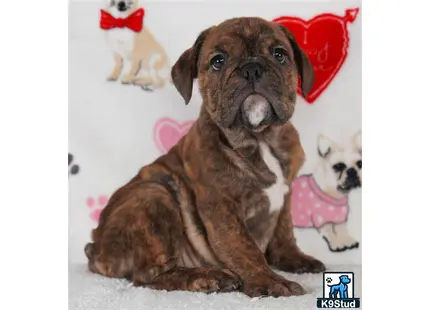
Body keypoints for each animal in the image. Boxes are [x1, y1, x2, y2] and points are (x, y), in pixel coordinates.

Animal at [84, 17, 326, 298]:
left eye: (279, 54)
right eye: (218, 60)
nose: (252, 69)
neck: (260, 138)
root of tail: (96, 248)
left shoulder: (286, 194)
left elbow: (284, 231)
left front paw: (294, 259)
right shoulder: (222, 207)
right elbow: (244, 247)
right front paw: (270, 281)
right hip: (153, 194)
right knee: (151, 275)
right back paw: (207, 277)